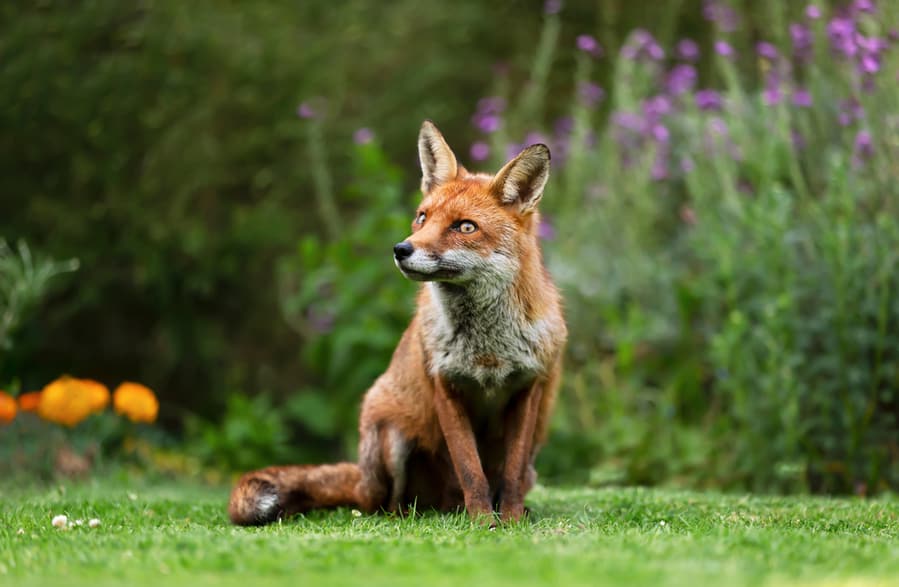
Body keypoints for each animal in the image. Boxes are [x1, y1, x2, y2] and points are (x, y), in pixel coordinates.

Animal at [229, 121, 568, 524]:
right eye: (422, 217)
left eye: (465, 227)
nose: (401, 249)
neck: (487, 351)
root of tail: (362, 477)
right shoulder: (445, 386)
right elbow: (471, 470)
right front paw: (483, 522)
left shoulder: (527, 388)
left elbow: (510, 475)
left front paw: (511, 520)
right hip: (391, 436)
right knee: (384, 503)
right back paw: (415, 515)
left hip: (531, 454)